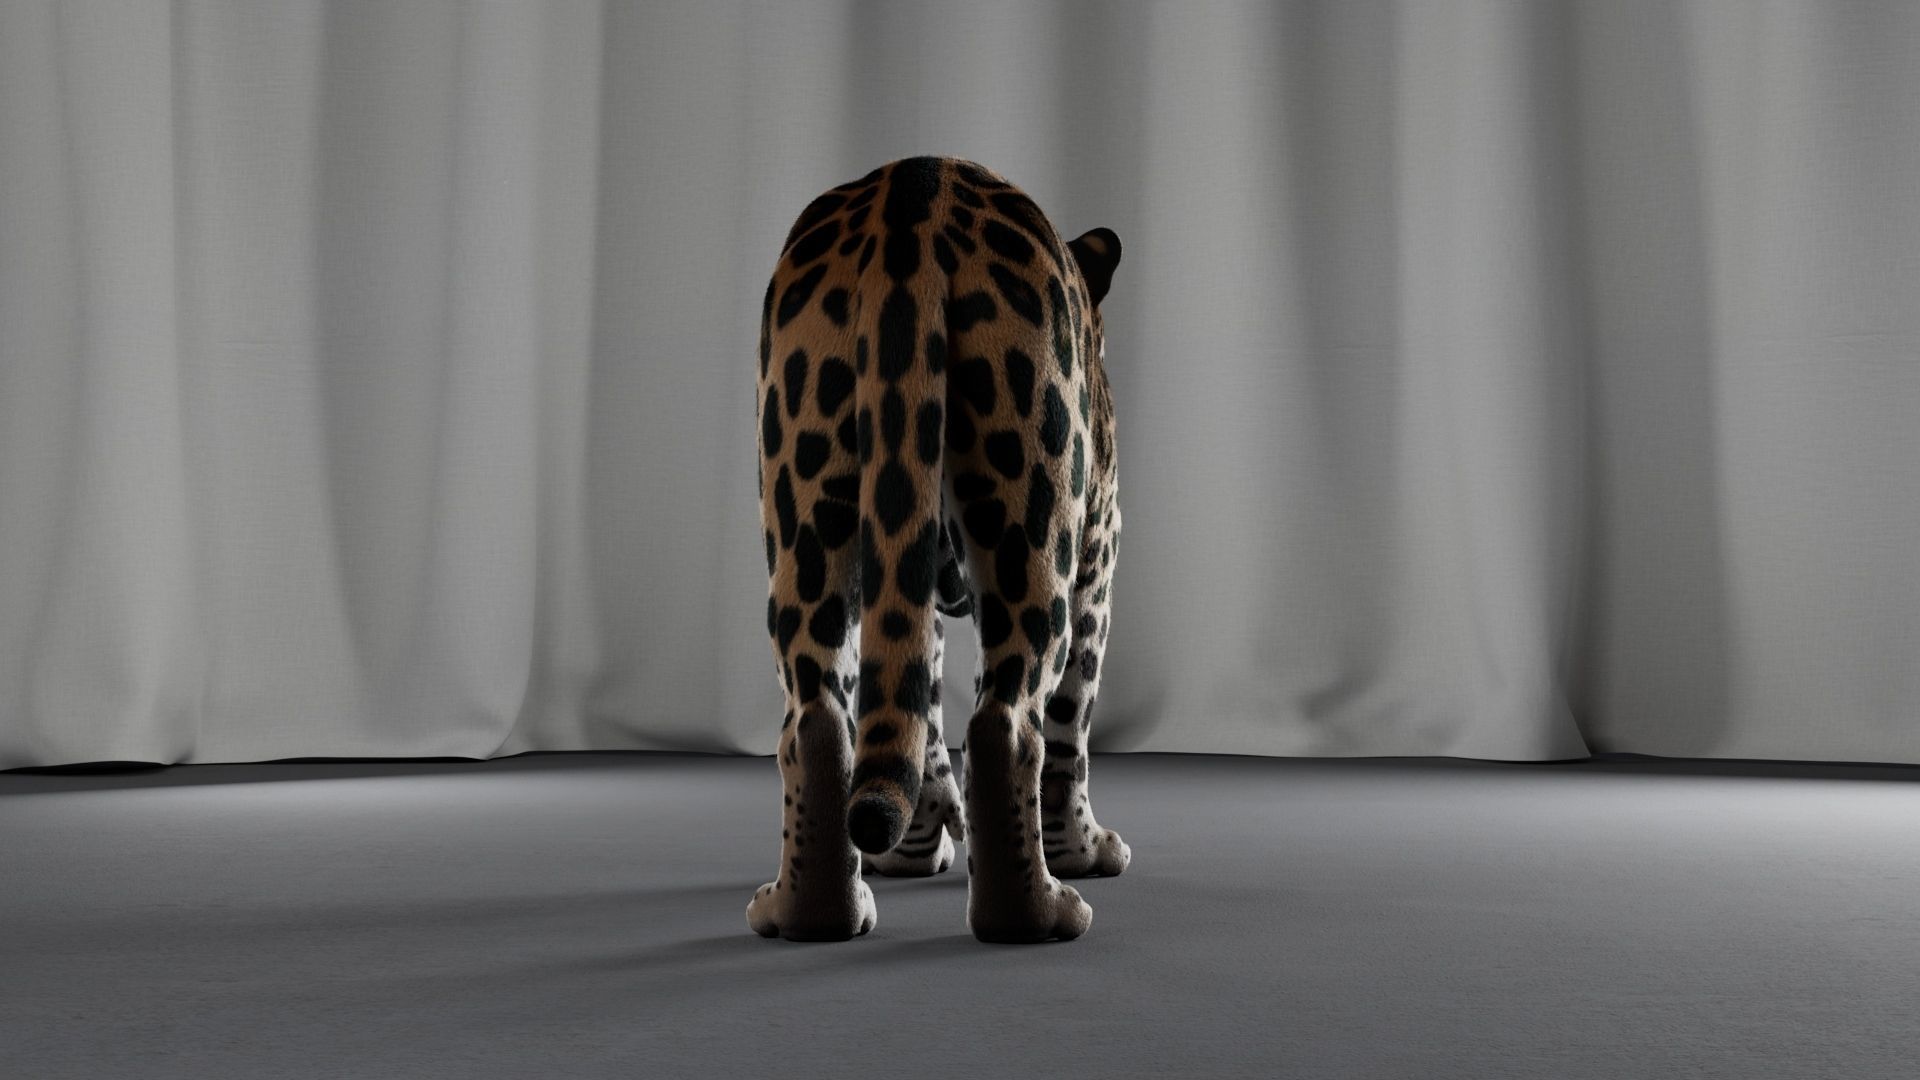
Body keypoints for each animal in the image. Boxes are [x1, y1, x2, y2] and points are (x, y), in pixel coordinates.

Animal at [748, 156, 1126, 944]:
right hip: (1035, 528)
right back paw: (1038, 913)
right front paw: (1080, 849)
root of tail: (912, 191)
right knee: (1007, 725)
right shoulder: (1100, 560)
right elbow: (1070, 727)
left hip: (807, 516)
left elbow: (914, 714)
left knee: (819, 719)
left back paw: (812, 912)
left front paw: (915, 849)